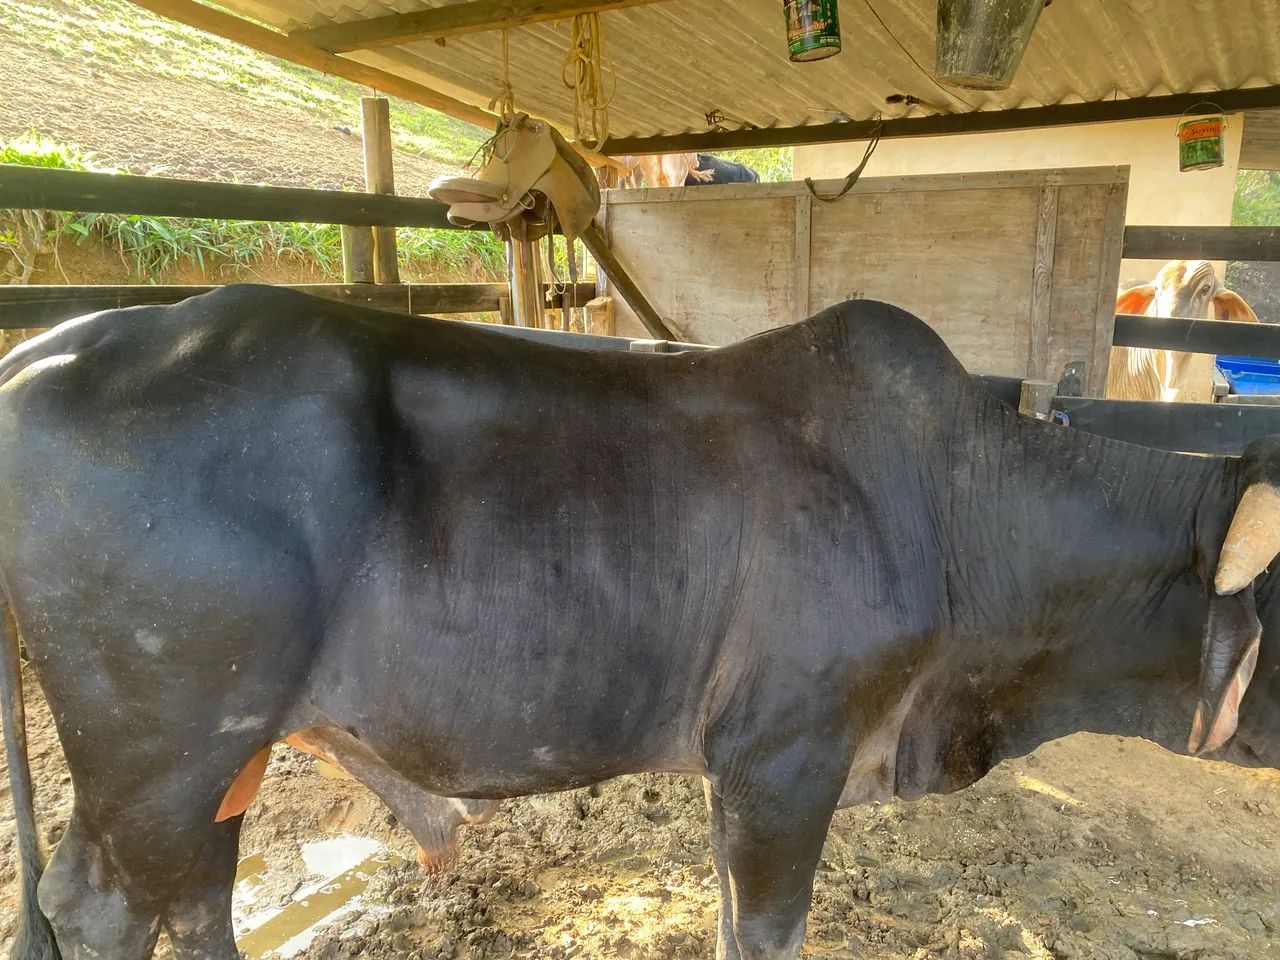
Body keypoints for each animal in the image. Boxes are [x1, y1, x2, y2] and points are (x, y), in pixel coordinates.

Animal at [1, 285, 1278, 960]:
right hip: (153, 751)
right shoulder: (781, 758)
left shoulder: (744, 771)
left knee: (196, 892)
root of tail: (53, 346)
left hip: (223, 750)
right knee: (102, 910)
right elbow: (763, 929)